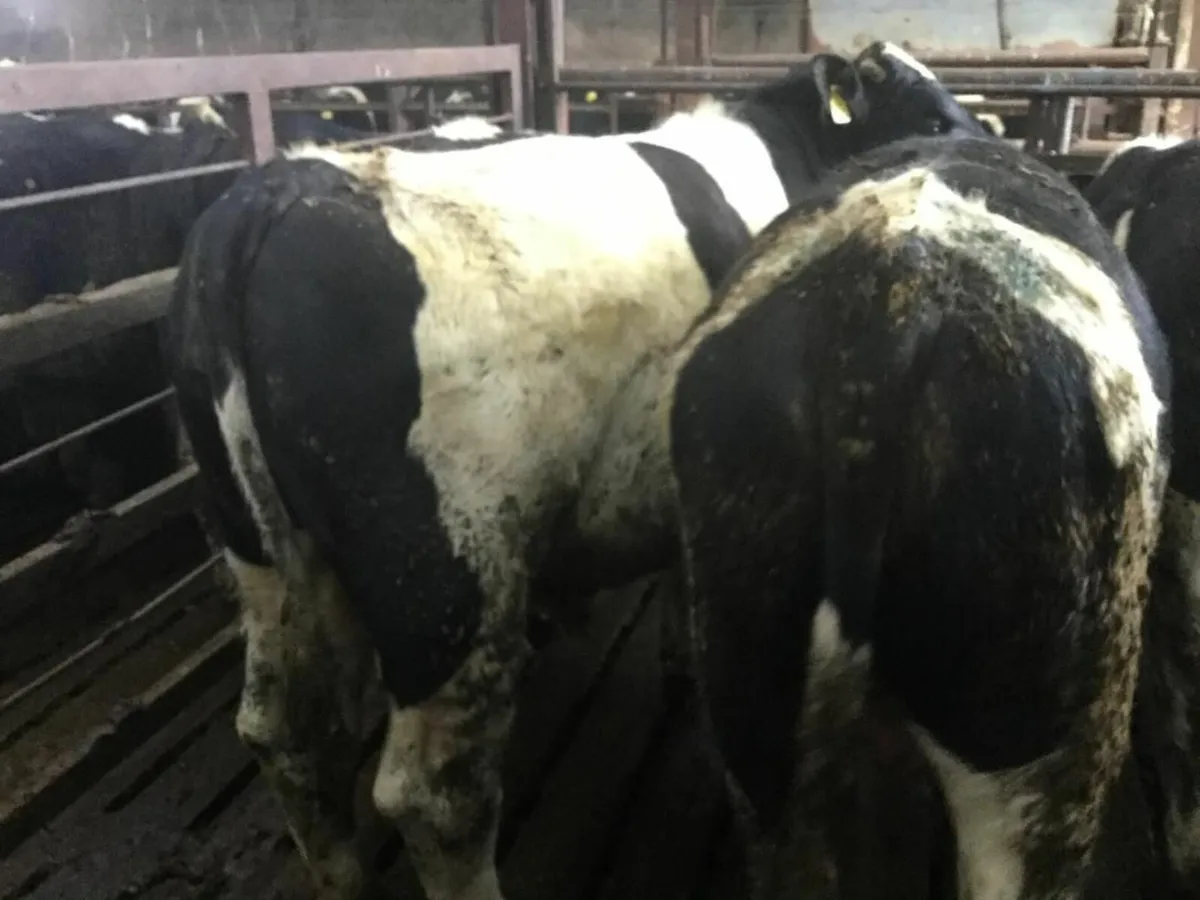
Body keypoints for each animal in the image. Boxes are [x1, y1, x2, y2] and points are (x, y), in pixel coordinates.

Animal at [165, 41, 991, 900]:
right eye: (935, 121)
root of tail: (273, 194)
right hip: (451, 571)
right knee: (436, 794)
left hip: (259, 550)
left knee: (282, 732)